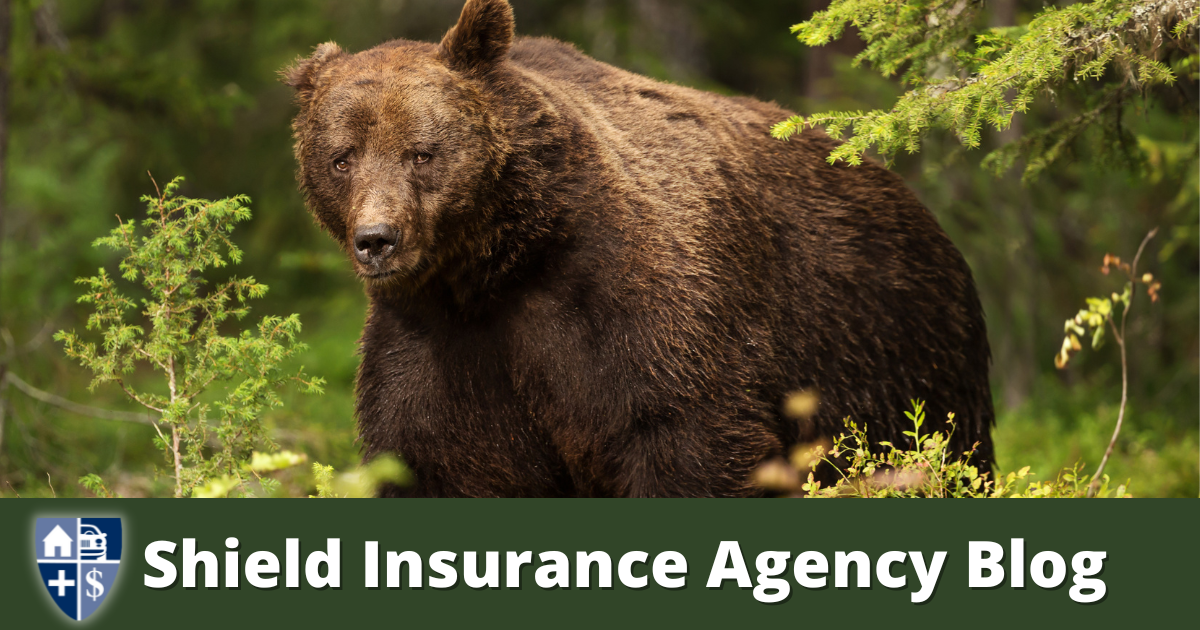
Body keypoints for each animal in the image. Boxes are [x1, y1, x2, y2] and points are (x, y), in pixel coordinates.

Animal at [280, 0, 993, 496]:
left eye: (422, 152)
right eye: (342, 158)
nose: (377, 240)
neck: (503, 266)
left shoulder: (640, 312)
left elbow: (688, 442)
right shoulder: (439, 348)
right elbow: (439, 461)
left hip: (894, 357)